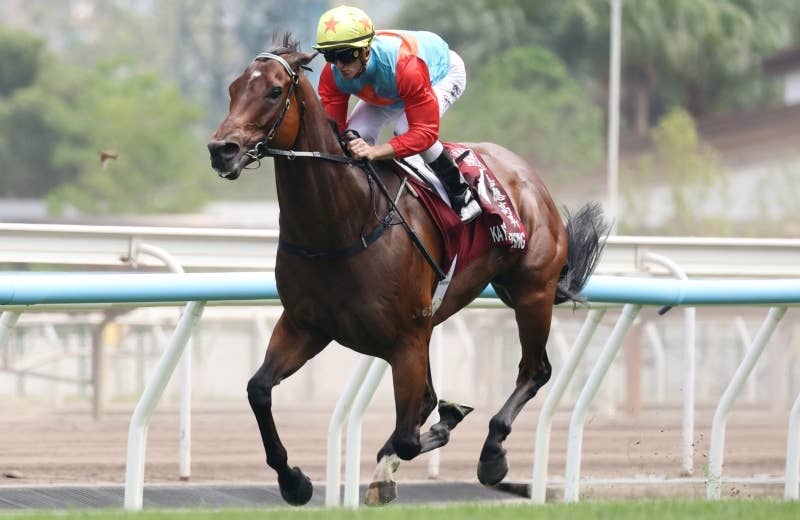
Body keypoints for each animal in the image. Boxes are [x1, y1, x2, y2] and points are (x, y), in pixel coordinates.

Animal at [208, 34, 606, 506]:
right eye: (233, 88)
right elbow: (259, 390)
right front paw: (295, 480)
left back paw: (493, 454)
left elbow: (410, 436)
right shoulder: (307, 326)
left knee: (535, 370)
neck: (342, 224)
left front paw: (429, 441)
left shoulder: (407, 339)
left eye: (273, 91)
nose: (222, 150)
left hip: (532, 291)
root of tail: (527, 174)